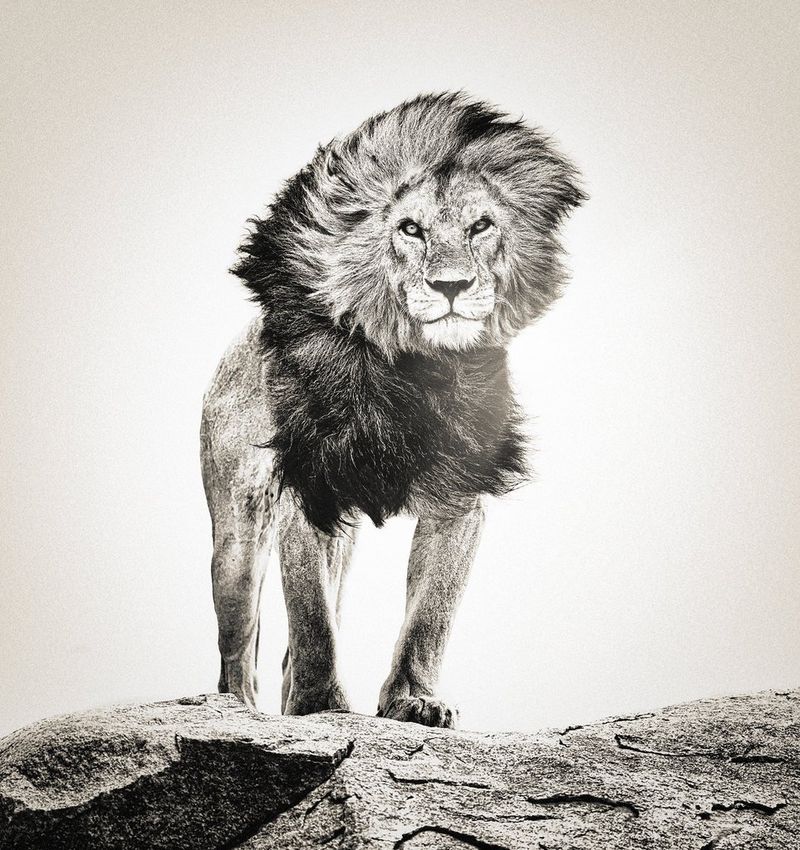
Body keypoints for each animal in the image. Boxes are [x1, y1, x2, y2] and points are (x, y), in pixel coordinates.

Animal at [203, 94, 584, 728]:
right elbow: (311, 618)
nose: (451, 286)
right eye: (410, 229)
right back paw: (239, 713)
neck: (417, 374)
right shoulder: (305, 489)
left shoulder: (460, 499)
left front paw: (414, 700)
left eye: (481, 226)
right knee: (239, 646)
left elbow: (430, 614)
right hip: (235, 542)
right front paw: (322, 705)